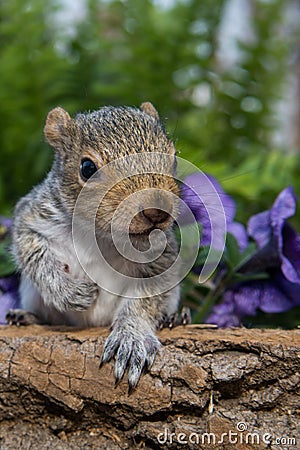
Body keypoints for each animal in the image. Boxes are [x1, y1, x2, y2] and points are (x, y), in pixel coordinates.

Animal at [7, 102, 189, 390]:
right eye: (87, 168)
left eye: (173, 159)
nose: (156, 211)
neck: (101, 237)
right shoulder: (32, 218)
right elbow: (34, 256)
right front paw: (71, 292)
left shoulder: (163, 255)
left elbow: (145, 300)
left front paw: (131, 336)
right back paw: (25, 316)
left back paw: (176, 318)